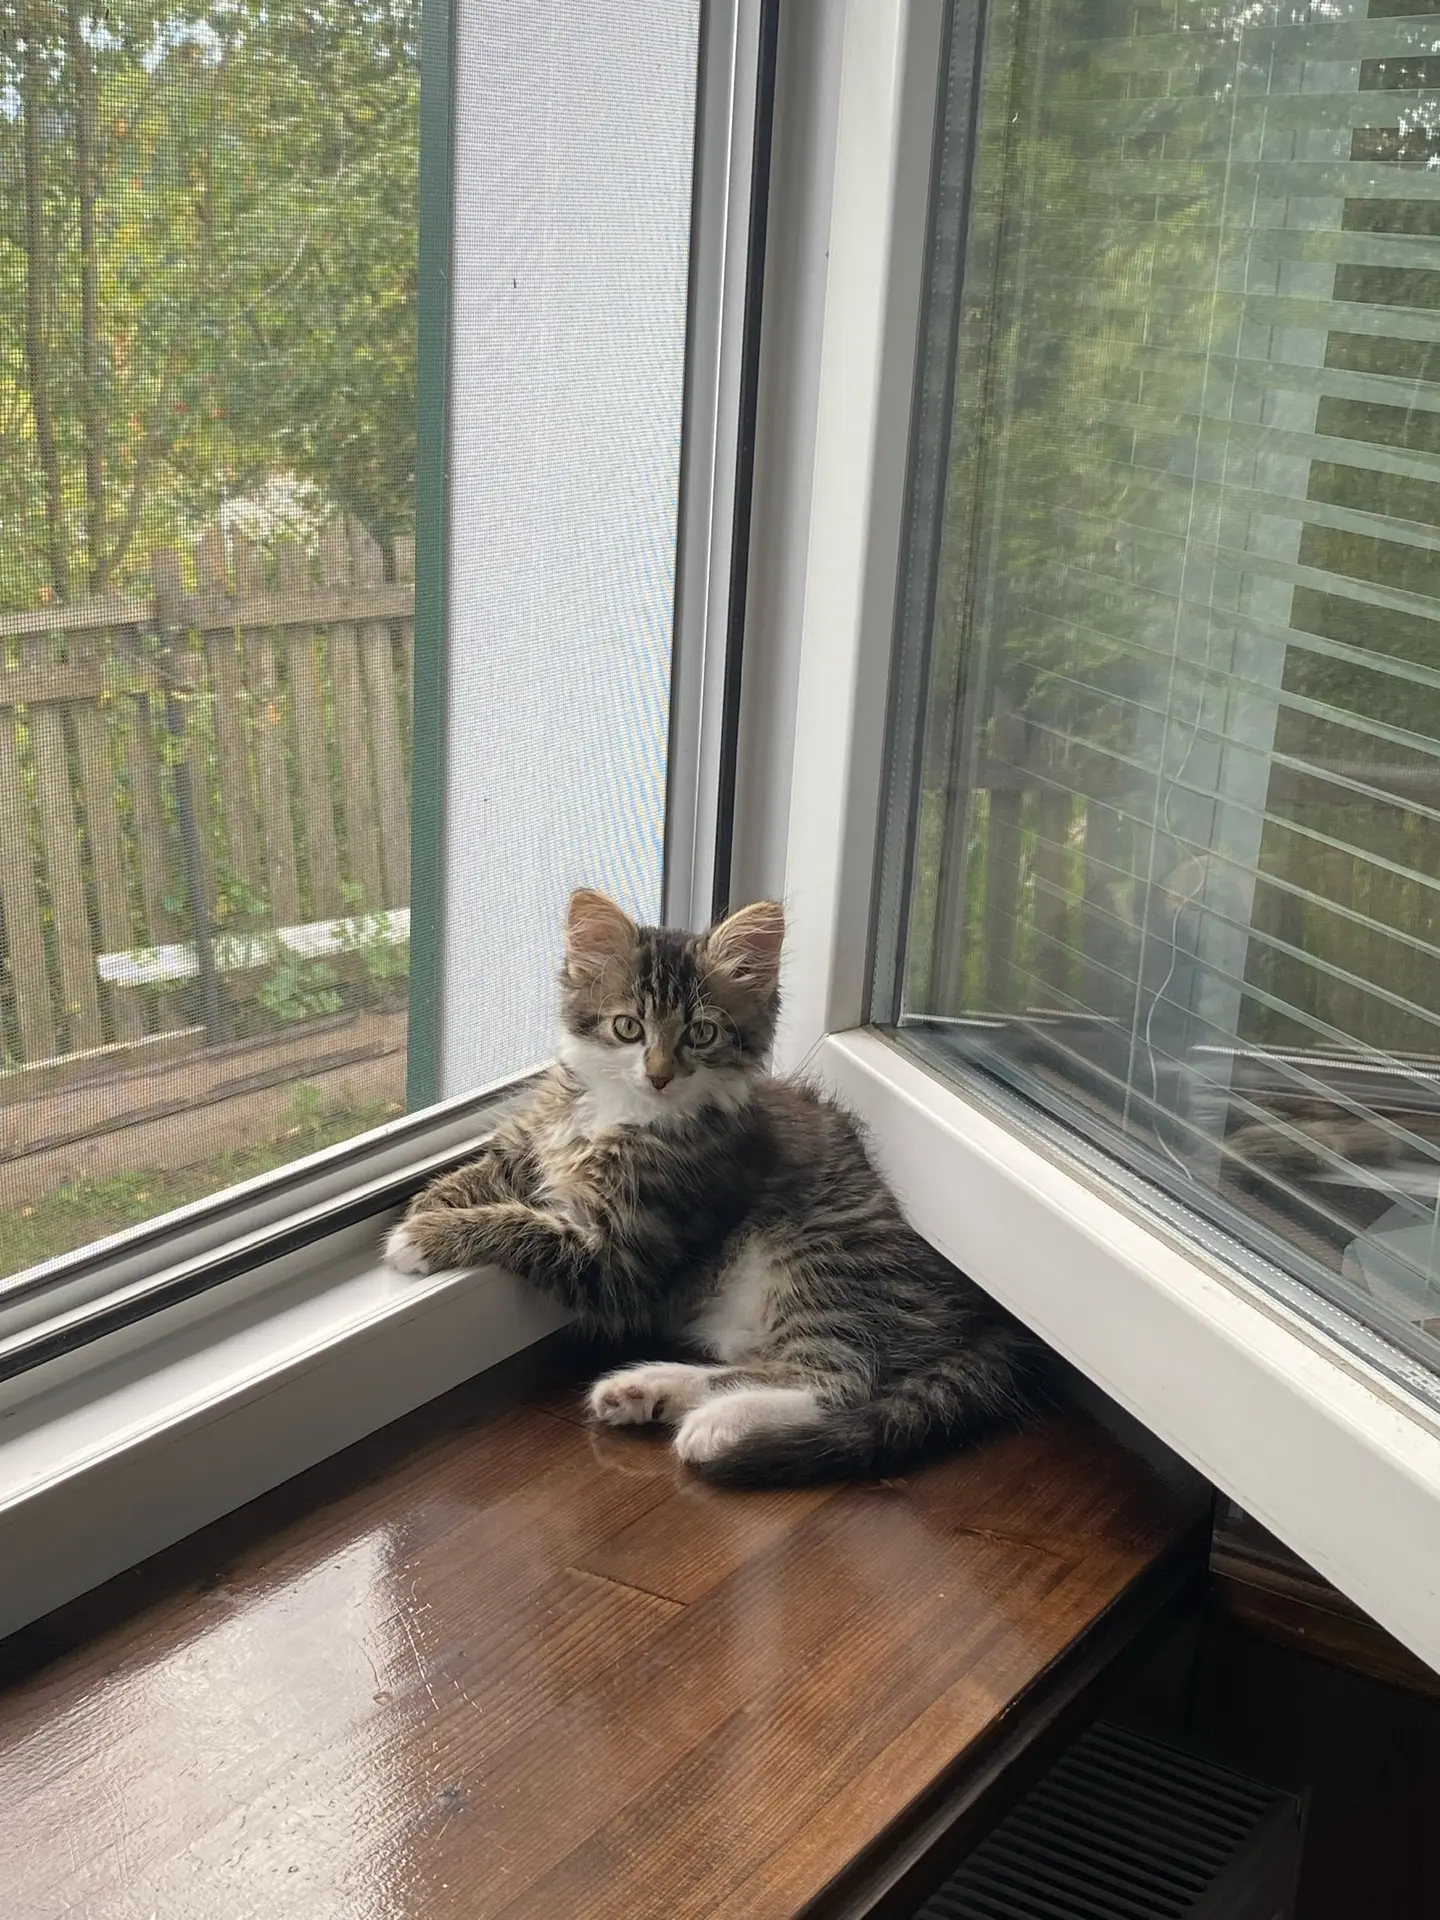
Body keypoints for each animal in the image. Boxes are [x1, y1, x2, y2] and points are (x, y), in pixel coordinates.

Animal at [384, 888, 1041, 1485]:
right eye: (628, 1027)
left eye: (700, 1033)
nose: (658, 1075)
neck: (617, 1110)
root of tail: (987, 1317)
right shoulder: (534, 1135)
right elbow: (485, 1171)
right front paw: (429, 1206)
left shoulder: (625, 1258)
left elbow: (529, 1226)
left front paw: (422, 1238)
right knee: (761, 1365)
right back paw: (644, 1388)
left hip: (823, 1260)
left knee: (833, 1381)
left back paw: (716, 1425)